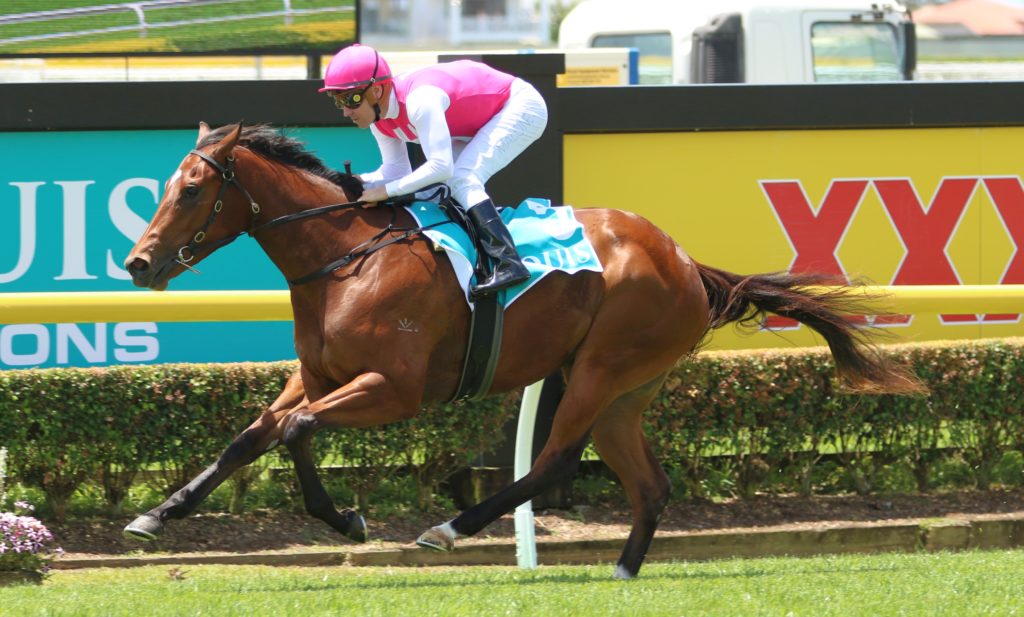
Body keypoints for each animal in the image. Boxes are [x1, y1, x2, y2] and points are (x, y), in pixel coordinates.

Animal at [122, 122, 923, 579]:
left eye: (190, 191)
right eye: (162, 187)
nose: (138, 263)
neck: (345, 257)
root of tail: (687, 261)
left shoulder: (393, 387)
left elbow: (295, 430)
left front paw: (347, 519)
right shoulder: (317, 373)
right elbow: (251, 435)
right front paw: (157, 514)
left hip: (599, 368)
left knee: (555, 460)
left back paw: (449, 529)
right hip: (629, 389)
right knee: (649, 482)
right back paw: (623, 572)